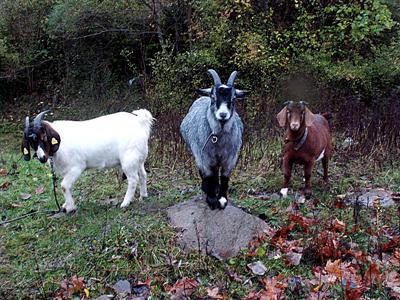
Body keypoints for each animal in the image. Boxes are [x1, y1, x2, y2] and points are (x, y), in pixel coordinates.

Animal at [21, 109, 153, 212]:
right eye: (31, 142)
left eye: (43, 136)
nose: (42, 158)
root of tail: (140, 121)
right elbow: (68, 186)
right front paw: (65, 205)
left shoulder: (76, 167)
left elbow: (64, 186)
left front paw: (70, 207)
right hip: (138, 158)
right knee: (143, 174)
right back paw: (143, 196)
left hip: (129, 159)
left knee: (133, 179)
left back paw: (125, 203)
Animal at [180, 68, 247, 209]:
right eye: (213, 97)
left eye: (234, 98)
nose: (223, 115)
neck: (218, 138)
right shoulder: (204, 157)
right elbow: (208, 175)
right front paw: (211, 199)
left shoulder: (230, 158)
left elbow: (225, 177)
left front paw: (222, 199)